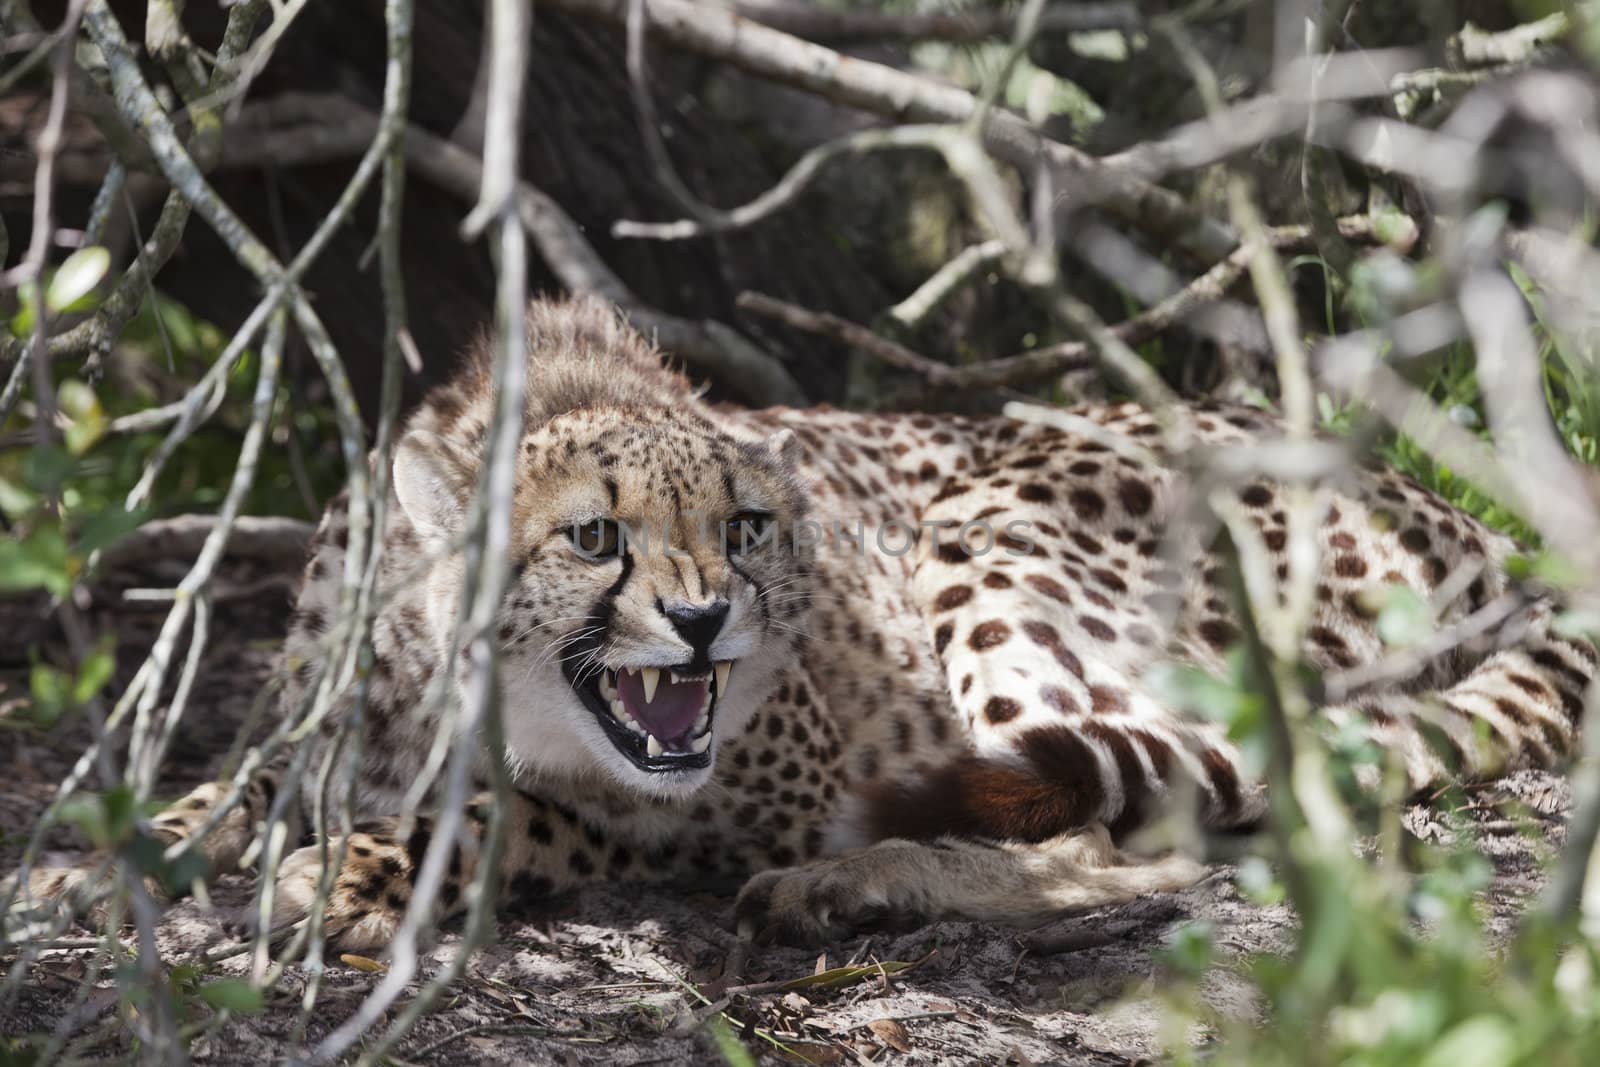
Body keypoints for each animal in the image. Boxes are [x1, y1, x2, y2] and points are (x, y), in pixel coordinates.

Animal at [9, 295, 1587, 947]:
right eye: (595, 536)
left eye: (745, 527)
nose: (709, 620)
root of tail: (1449, 510)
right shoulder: (319, 726)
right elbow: (228, 785)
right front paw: (82, 864)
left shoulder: (767, 779)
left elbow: (541, 813)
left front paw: (360, 867)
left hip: (995, 533)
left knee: (1138, 827)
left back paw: (862, 883)